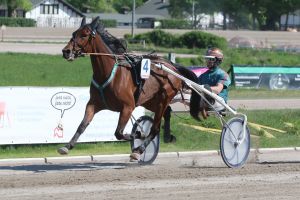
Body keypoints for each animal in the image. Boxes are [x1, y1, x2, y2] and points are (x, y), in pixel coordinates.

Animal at [59, 17, 198, 161]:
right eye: (74, 33)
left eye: (84, 35)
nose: (66, 51)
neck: (108, 73)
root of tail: (173, 67)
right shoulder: (93, 104)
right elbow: (82, 125)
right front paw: (67, 146)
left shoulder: (127, 107)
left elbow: (119, 133)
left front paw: (139, 134)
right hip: (150, 100)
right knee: (167, 112)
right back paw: (167, 137)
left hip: (163, 98)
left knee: (155, 128)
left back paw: (139, 150)